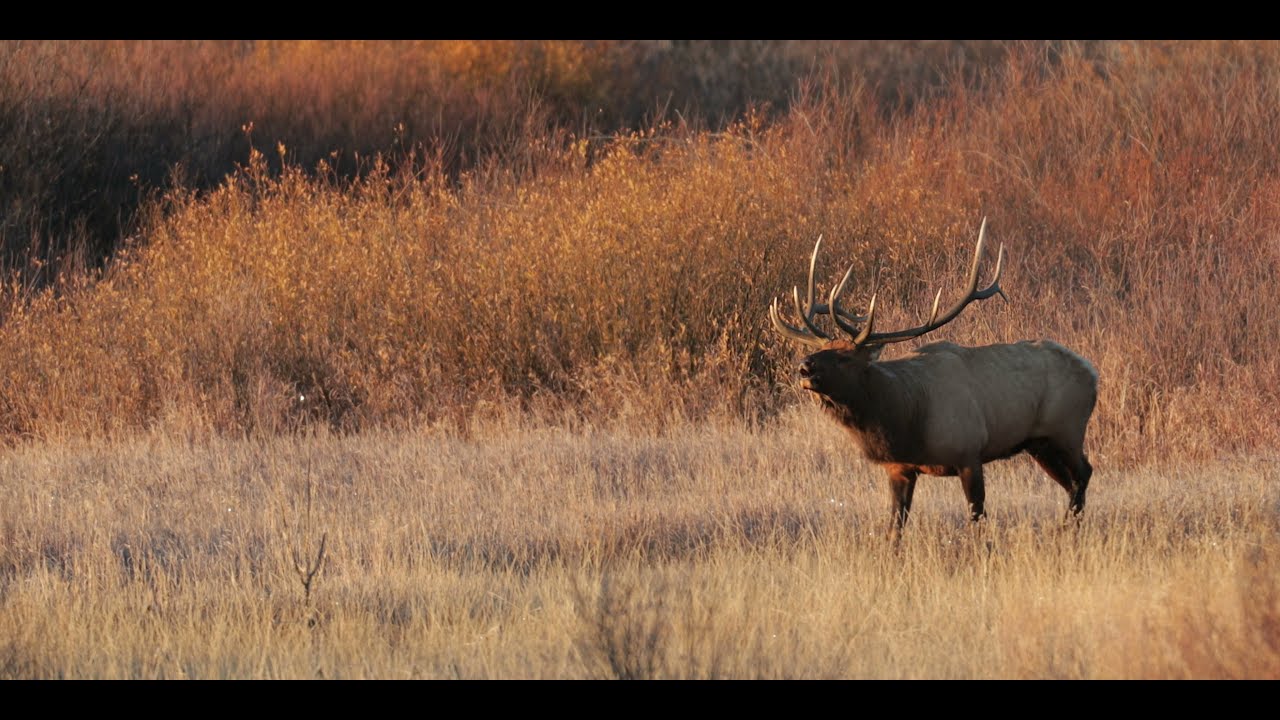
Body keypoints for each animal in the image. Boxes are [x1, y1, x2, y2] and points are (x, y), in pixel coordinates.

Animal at [769, 218, 1098, 540]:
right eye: (823, 350)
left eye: (846, 357)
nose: (804, 368)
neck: (906, 419)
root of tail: (1092, 372)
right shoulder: (900, 468)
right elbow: (895, 529)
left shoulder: (970, 452)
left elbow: (978, 520)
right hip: (1038, 443)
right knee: (1071, 481)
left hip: (1066, 429)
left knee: (1083, 474)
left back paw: (1069, 532)